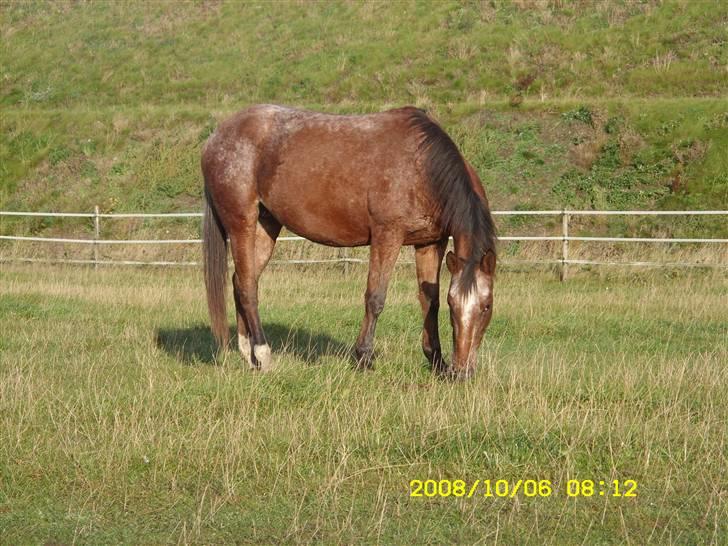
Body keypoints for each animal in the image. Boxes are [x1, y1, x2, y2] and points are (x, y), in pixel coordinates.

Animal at [202, 103, 498, 378]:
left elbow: (429, 301)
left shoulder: (430, 244)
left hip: (266, 226)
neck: (422, 167)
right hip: (242, 223)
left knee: (242, 280)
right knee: (247, 288)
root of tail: (215, 137)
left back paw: (249, 354)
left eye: (486, 306)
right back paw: (263, 355)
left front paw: (436, 361)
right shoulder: (387, 235)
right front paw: (363, 358)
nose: (461, 372)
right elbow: (375, 298)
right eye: (455, 306)